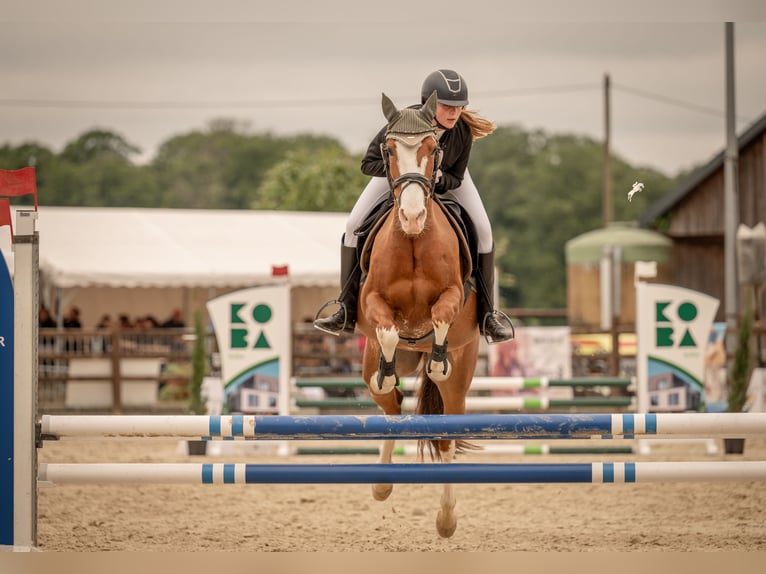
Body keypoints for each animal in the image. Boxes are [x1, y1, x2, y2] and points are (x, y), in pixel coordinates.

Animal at [356, 91, 480, 540]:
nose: (411, 217)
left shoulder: (454, 295)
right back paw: (381, 484)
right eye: (389, 150)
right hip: (369, 366)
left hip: (462, 380)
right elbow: (391, 330)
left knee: (446, 435)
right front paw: (390, 366)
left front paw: (439, 361)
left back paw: (446, 520)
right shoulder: (372, 301)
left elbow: (441, 315)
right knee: (390, 407)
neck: (412, 241)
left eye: (432, 149)